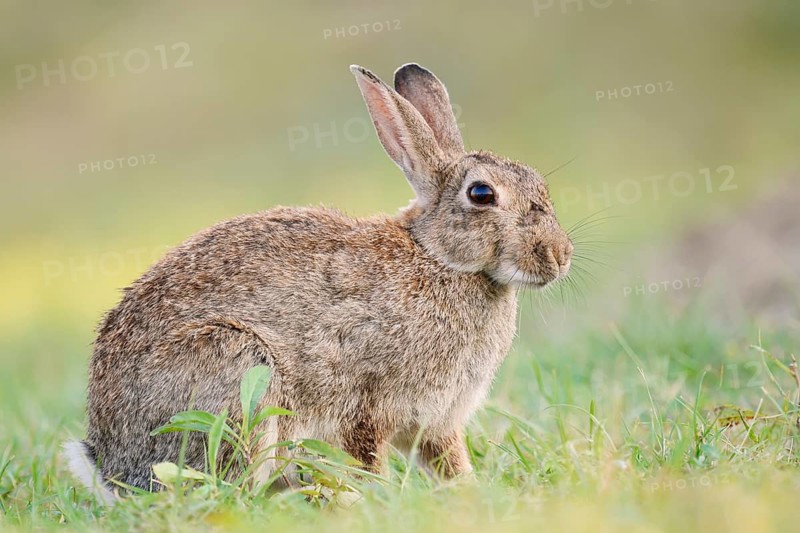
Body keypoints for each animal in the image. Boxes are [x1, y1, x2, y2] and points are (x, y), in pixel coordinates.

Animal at [63, 63, 573, 502]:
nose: (560, 255)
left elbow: (450, 463)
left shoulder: (437, 423)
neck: (438, 258)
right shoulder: (366, 402)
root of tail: (112, 468)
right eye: (482, 194)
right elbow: (367, 458)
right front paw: (379, 501)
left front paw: (470, 493)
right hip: (237, 366)